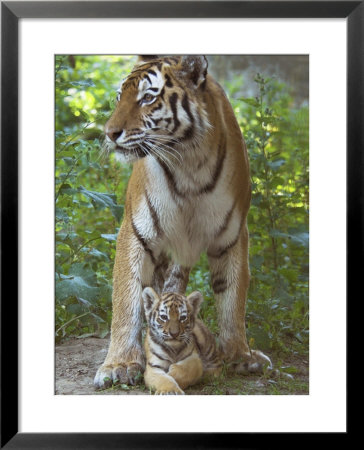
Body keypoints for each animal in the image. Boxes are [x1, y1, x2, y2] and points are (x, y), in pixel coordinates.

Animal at [94, 54, 270, 388]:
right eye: (119, 97)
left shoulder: (233, 235)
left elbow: (233, 299)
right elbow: (126, 299)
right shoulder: (136, 232)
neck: (189, 162)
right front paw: (119, 364)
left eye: (147, 98)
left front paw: (240, 355)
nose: (109, 133)